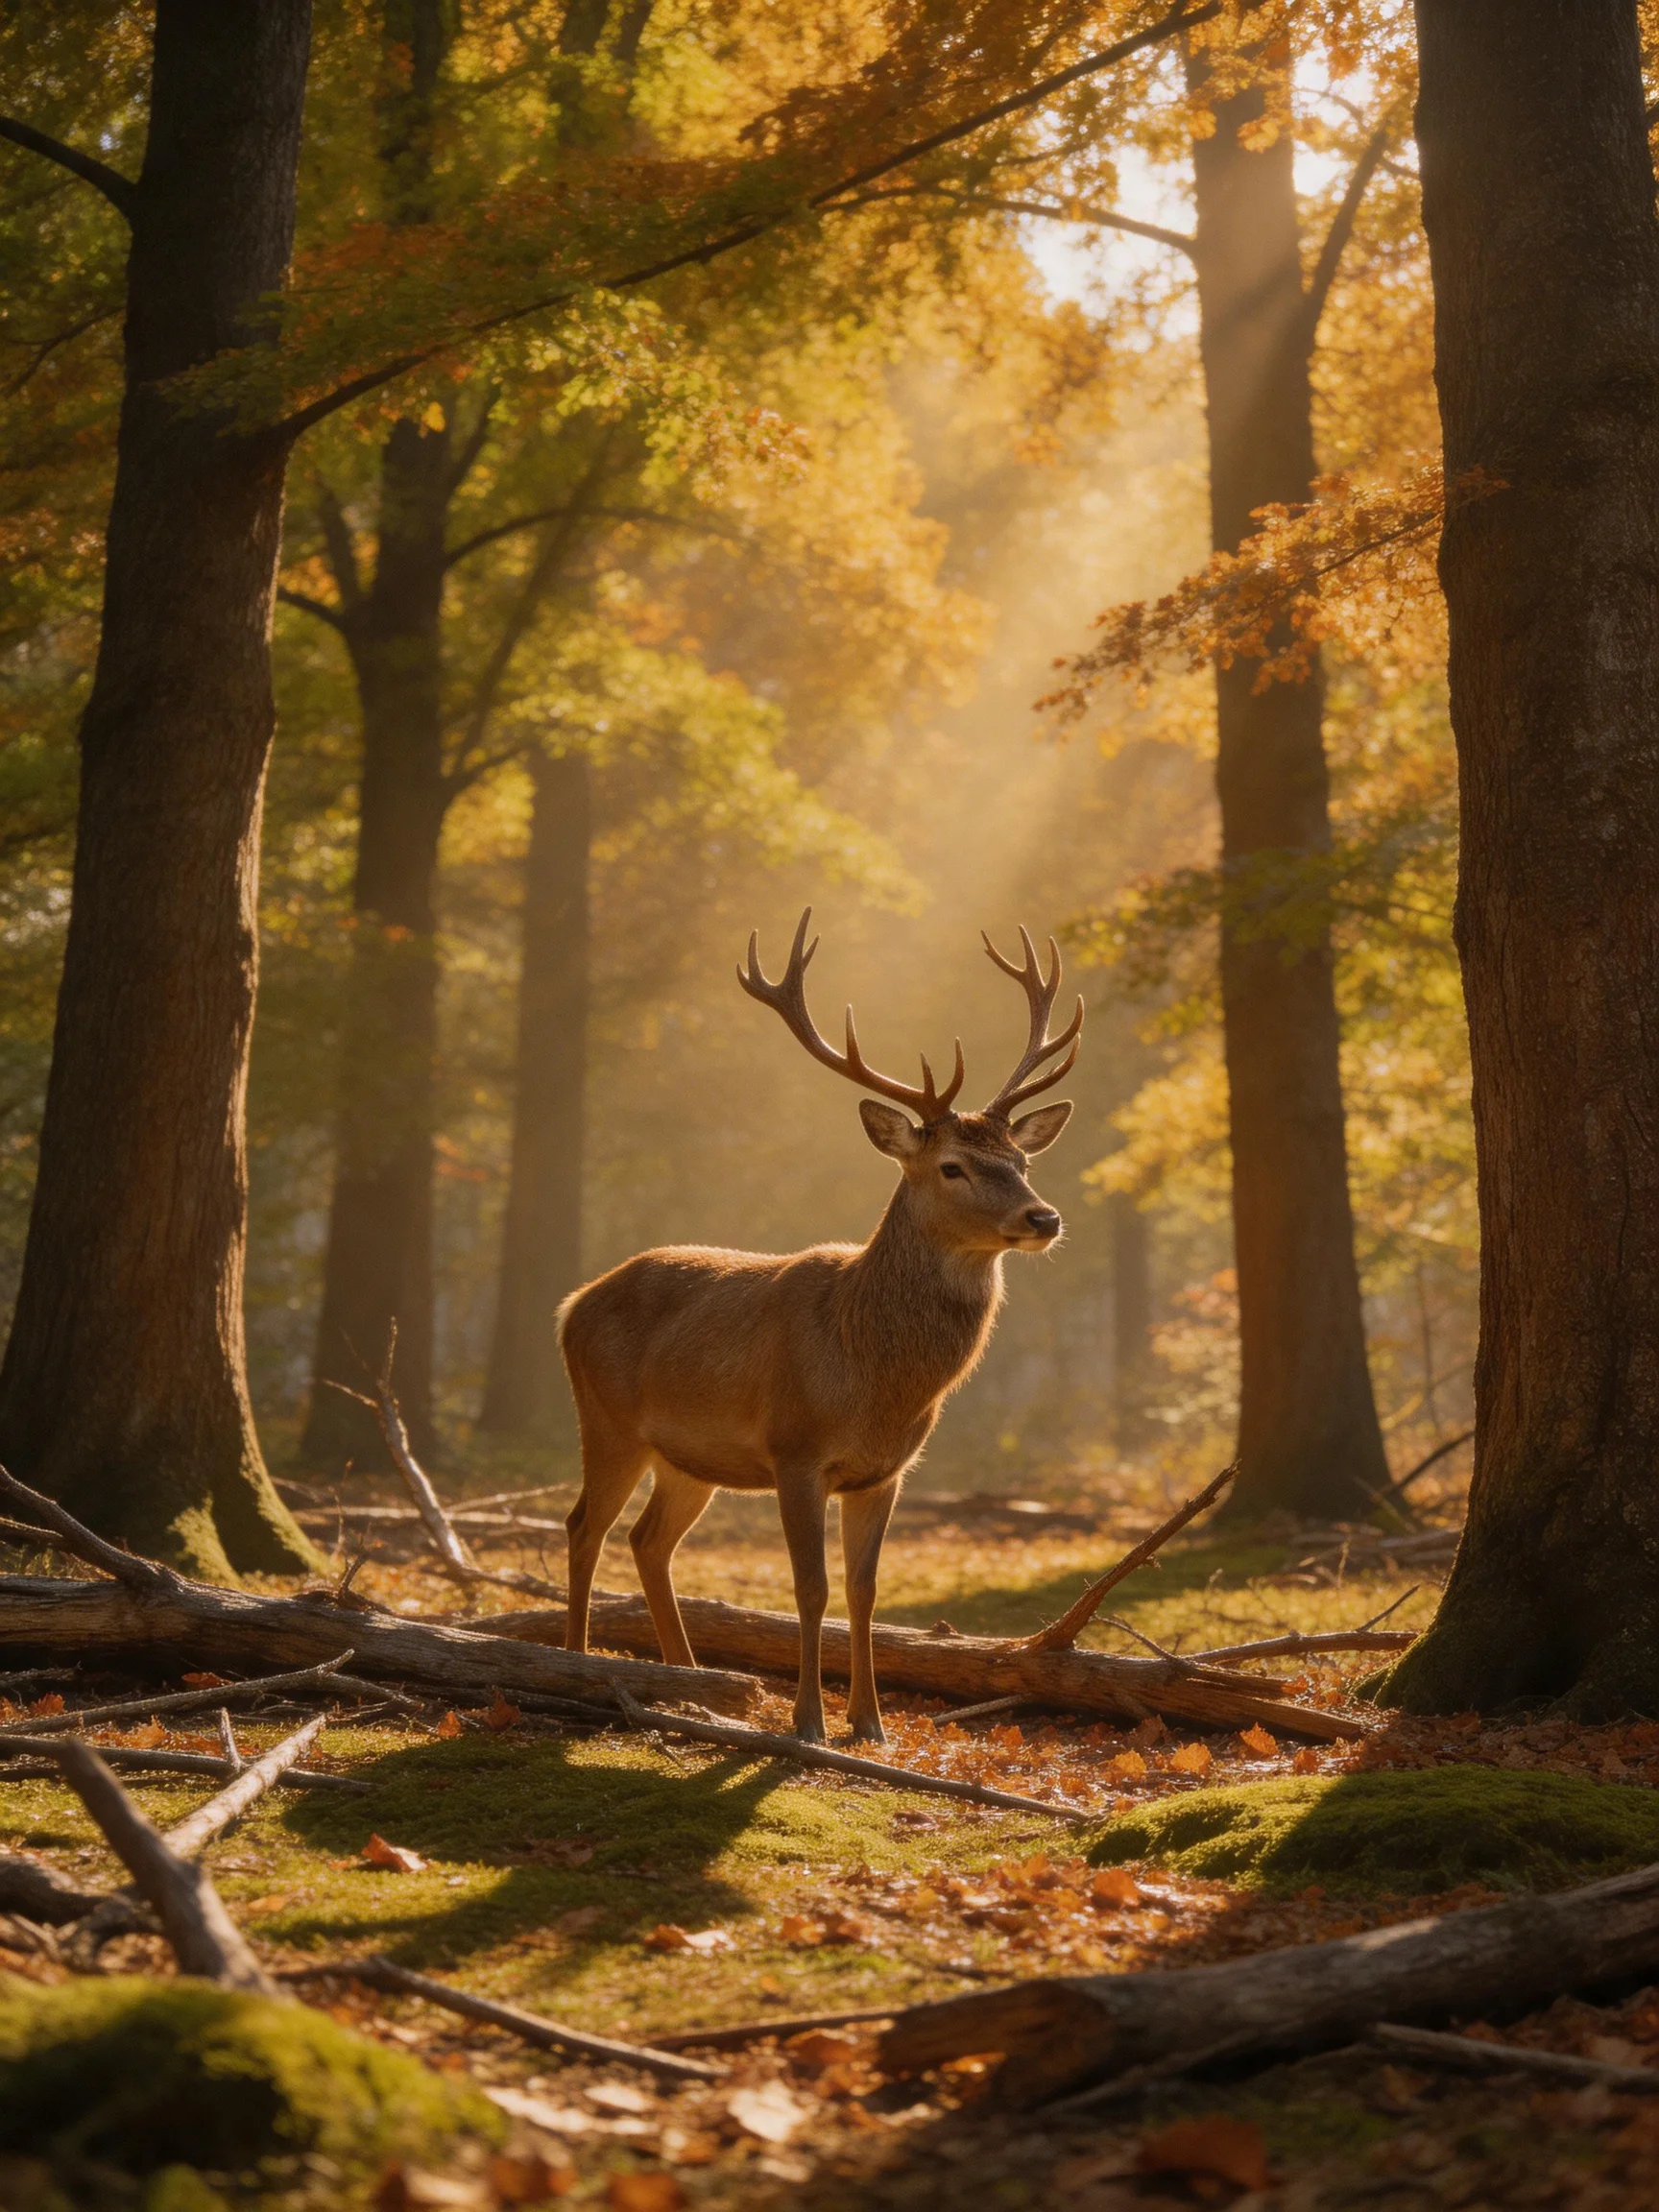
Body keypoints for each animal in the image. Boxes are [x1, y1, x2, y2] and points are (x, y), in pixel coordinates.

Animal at [557, 909, 1082, 1744]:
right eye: (953, 1167)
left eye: (1021, 1160)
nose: (1044, 1217)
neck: (872, 1373)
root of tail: (571, 1304)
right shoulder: (794, 1449)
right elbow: (810, 1587)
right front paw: (808, 1723)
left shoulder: (886, 1471)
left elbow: (865, 1591)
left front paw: (869, 1723)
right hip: (606, 1421)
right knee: (584, 1528)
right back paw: (580, 1664)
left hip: (688, 1457)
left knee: (648, 1540)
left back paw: (691, 1680)